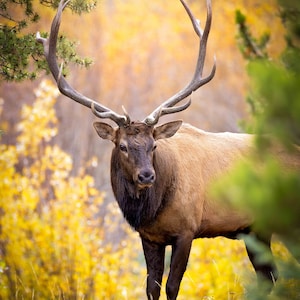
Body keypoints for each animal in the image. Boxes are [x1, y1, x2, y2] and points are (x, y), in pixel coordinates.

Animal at [37, 0, 300, 298]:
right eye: (122, 146)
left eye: (154, 145)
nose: (146, 175)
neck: (151, 210)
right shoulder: (149, 237)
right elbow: (152, 286)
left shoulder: (187, 229)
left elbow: (173, 286)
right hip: (257, 230)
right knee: (270, 277)